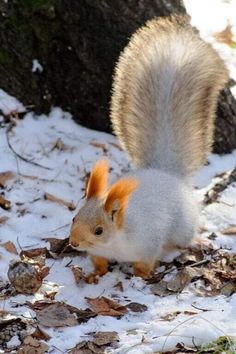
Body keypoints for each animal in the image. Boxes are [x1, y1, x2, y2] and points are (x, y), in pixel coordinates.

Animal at [69, 15, 228, 284]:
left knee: (184, 236)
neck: (116, 241)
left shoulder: (147, 242)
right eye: (74, 217)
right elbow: (99, 262)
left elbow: (146, 261)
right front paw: (95, 274)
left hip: (182, 225)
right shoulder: (98, 252)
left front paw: (140, 275)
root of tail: (166, 173)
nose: (73, 243)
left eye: (99, 230)